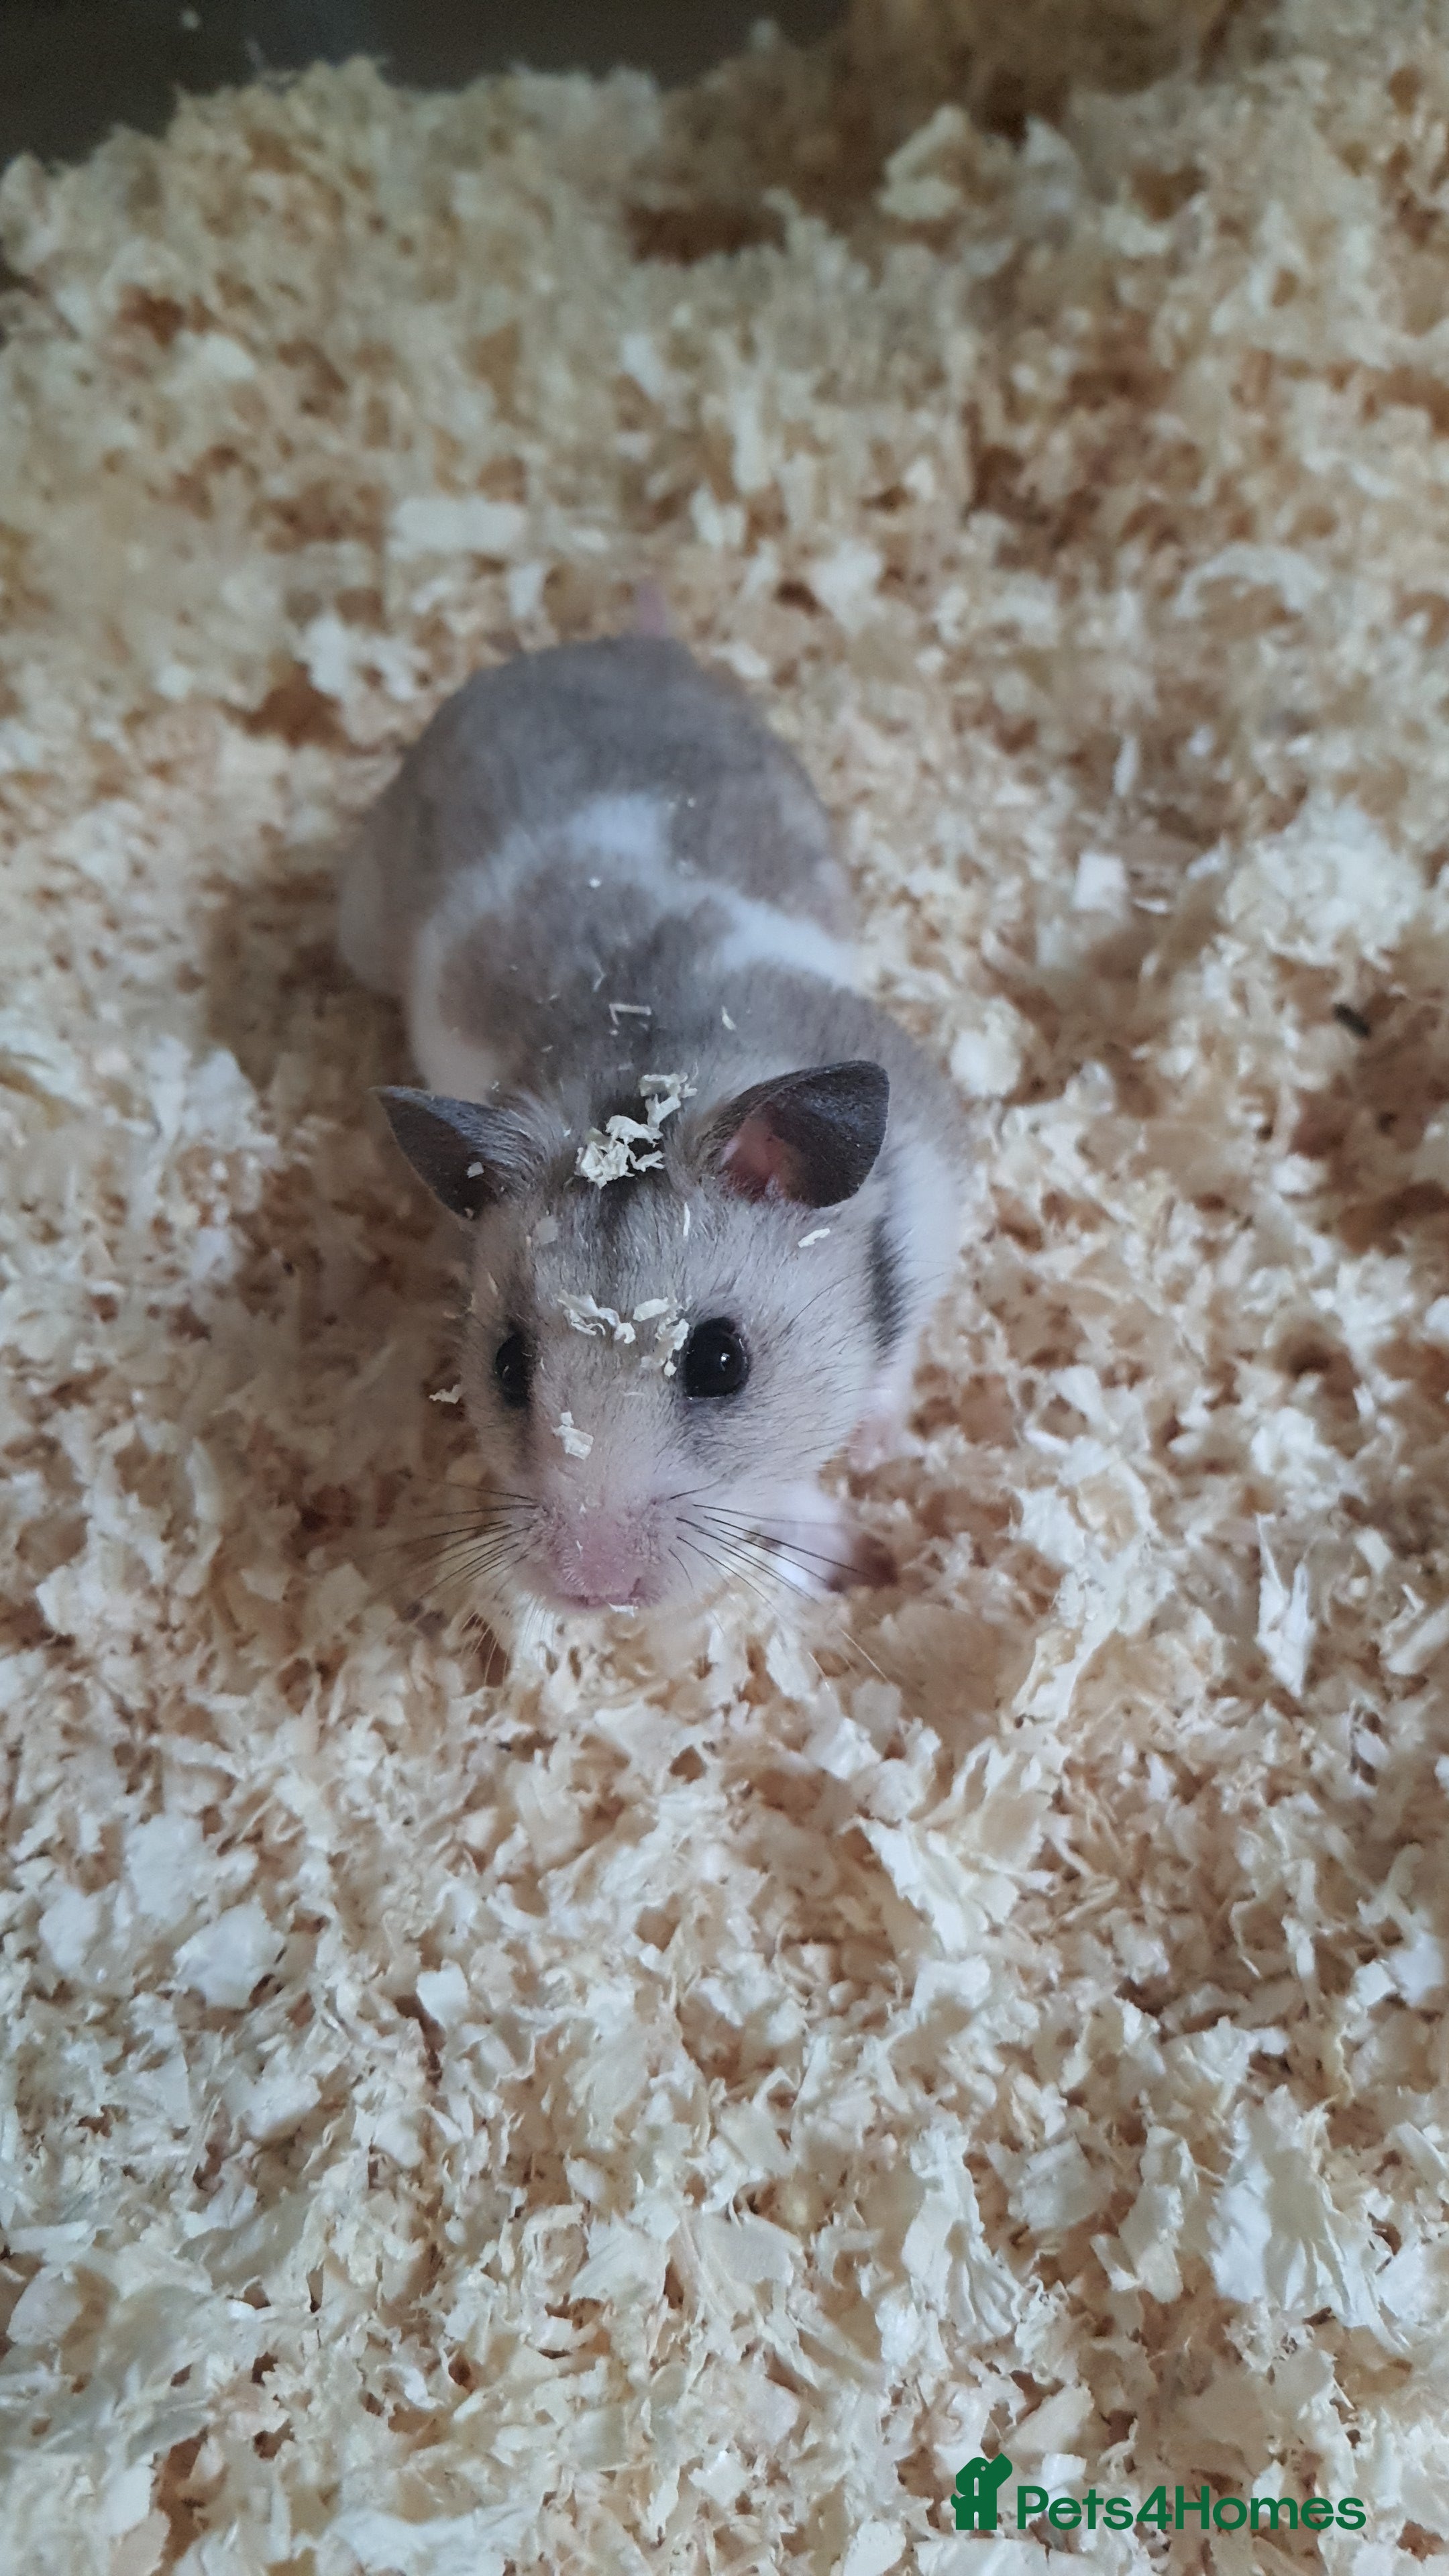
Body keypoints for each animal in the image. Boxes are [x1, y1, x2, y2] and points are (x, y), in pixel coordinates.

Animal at [339, 632, 965, 1619]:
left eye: (720, 1362)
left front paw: (871, 1462)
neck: (641, 1087)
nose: (594, 1590)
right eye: (507, 1366)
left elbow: (887, 1374)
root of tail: (604, 640)